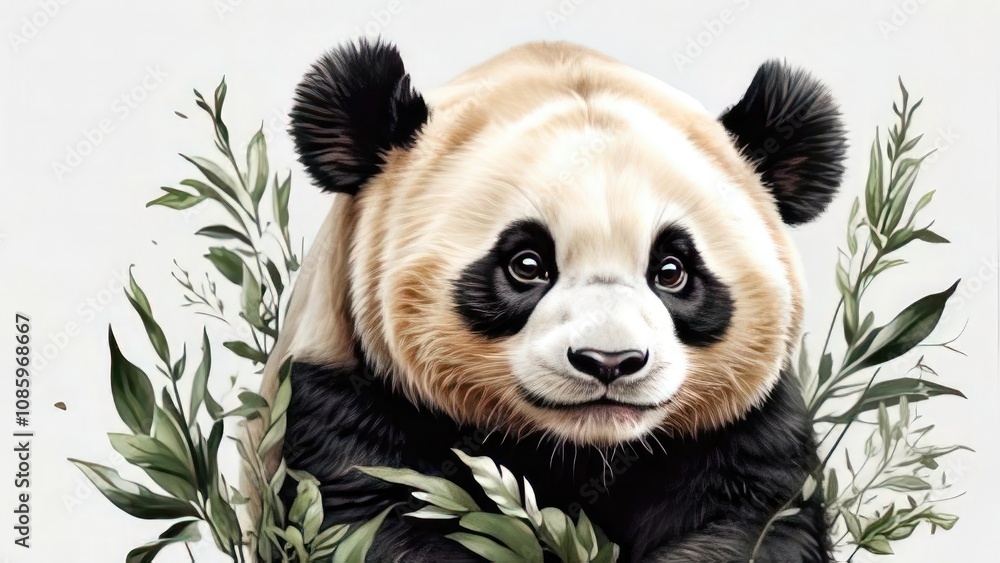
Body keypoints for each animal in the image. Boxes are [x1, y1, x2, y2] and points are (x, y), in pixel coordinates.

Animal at [259, 39, 846, 562]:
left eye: (672, 271)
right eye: (527, 264)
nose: (609, 361)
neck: (586, 449)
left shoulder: (746, 431)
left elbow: (755, 525)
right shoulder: (342, 400)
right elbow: (371, 516)